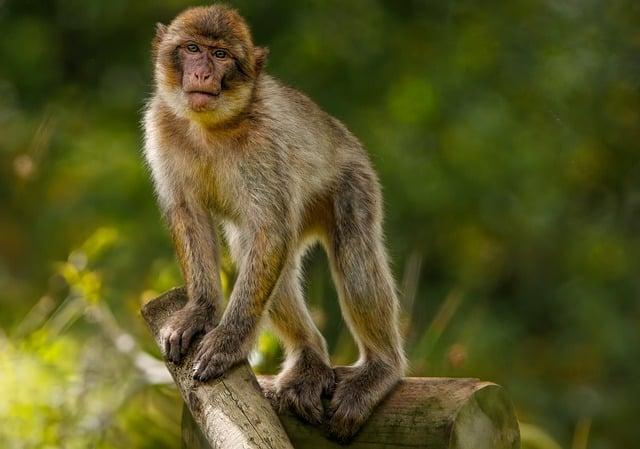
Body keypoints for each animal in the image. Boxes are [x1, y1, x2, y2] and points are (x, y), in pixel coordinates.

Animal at [143, 4, 408, 440]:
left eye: (220, 55)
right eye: (192, 48)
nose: (202, 74)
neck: (210, 127)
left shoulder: (264, 141)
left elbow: (270, 231)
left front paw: (228, 341)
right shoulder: (160, 126)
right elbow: (189, 215)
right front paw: (199, 310)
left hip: (354, 181)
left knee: (351, 251)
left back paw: (381, 368)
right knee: (257, 251)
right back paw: (310, 357)